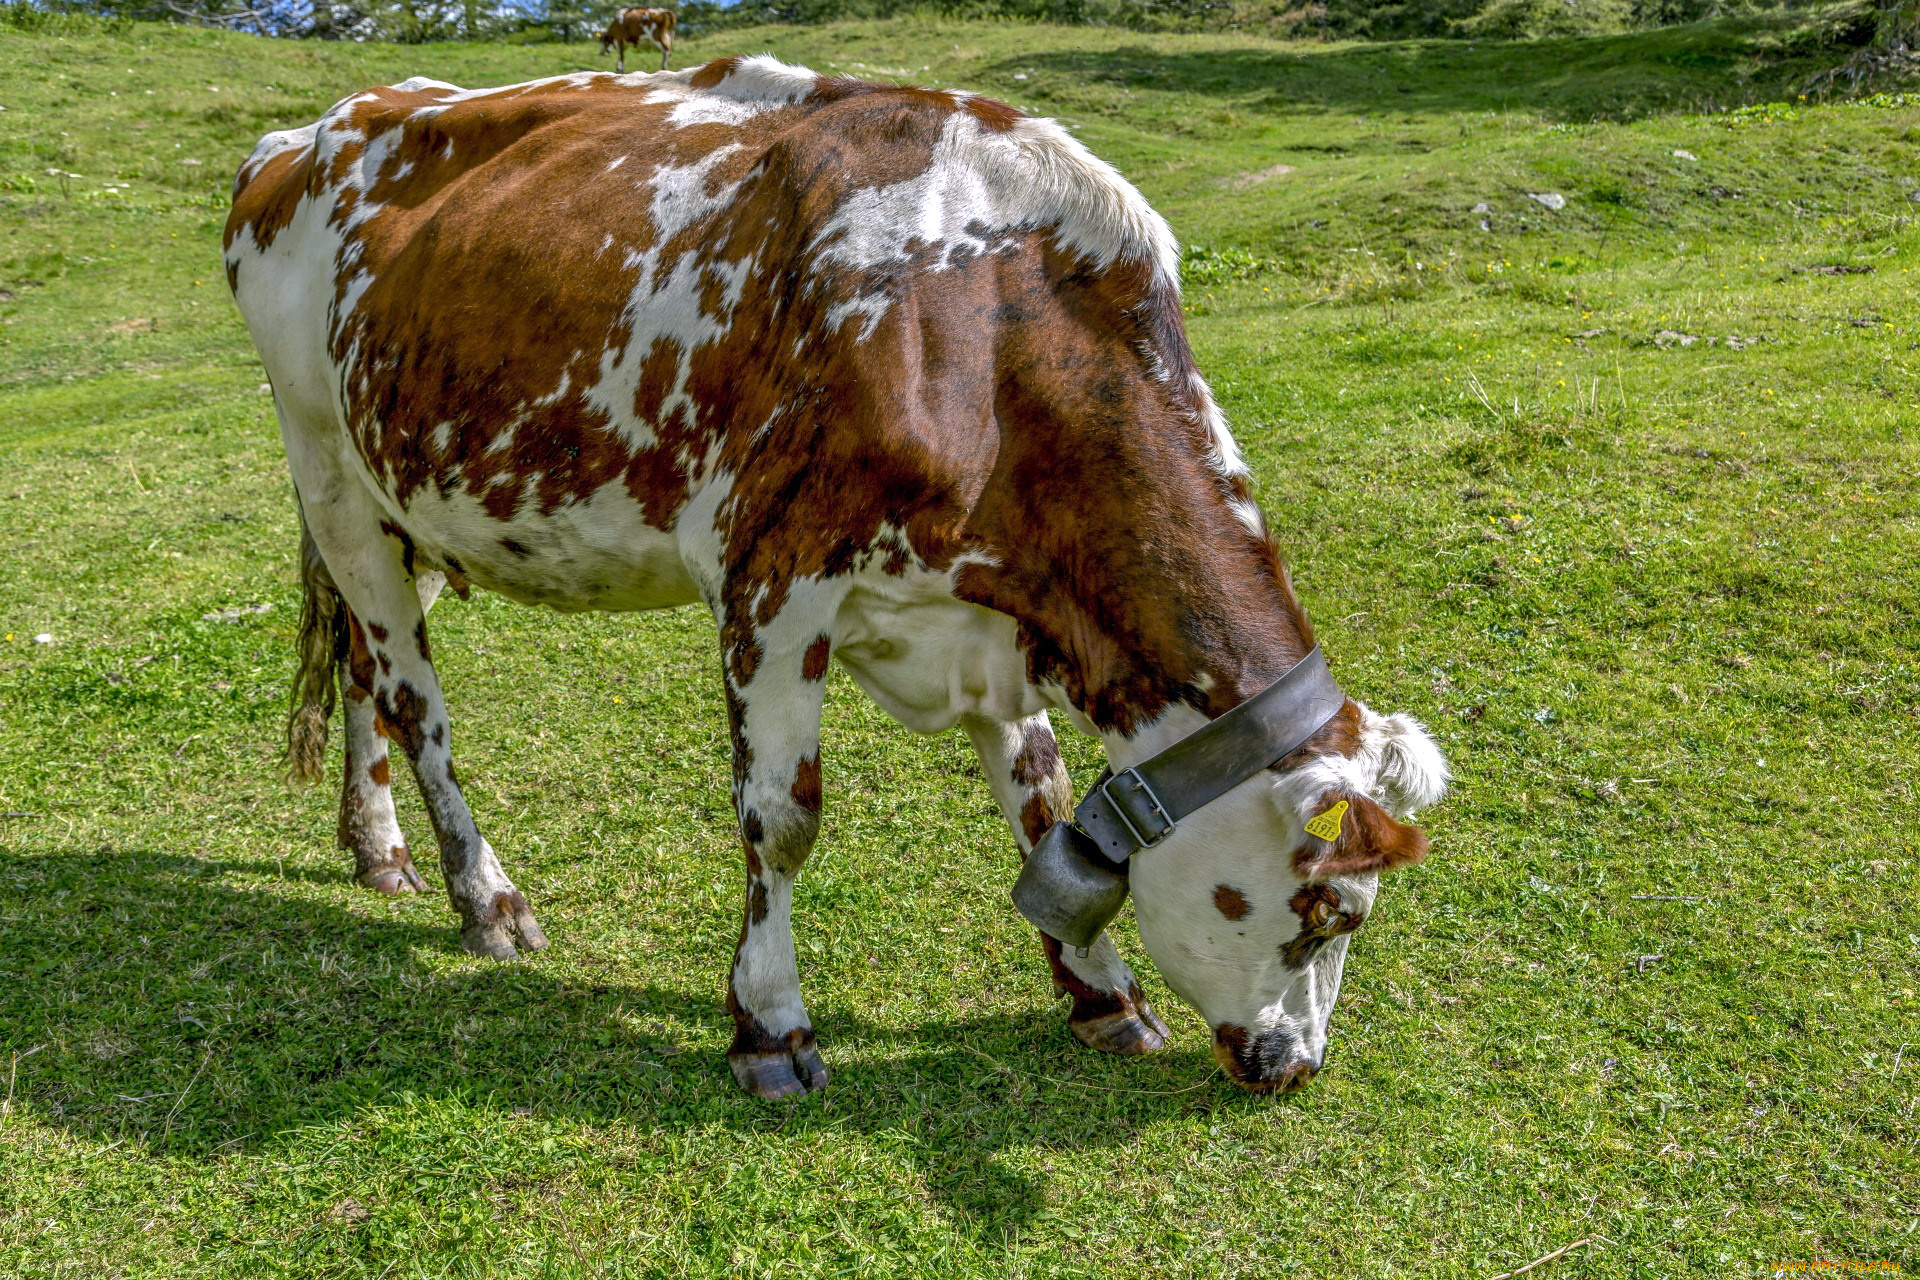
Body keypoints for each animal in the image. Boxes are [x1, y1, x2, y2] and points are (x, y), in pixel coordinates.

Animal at [223, 56, 1448, 1100]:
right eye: (1330, 912)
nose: (1294, 1066)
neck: (983, 337)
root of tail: (310, 132)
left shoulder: (991, 609)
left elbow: (1039, 799)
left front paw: (1101, 994)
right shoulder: (773, 579)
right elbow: (783, 819)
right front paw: (770, 1026)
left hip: (402, 494)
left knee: (365, 667)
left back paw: (377, 848)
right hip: (325, 466)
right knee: (413, 695)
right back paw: (485, 897)